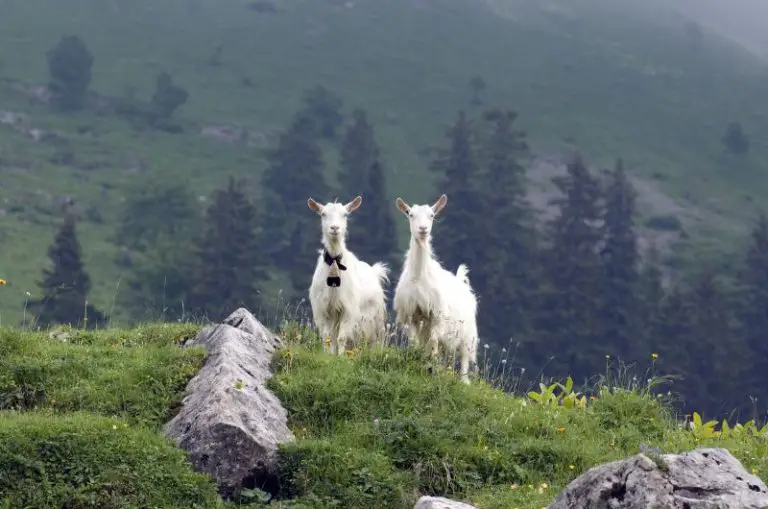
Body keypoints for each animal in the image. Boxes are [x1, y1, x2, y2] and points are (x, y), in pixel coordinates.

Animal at [307, 195, 390, 355]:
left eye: (345, 214)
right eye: (323, 214)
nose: (334, 228)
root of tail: (374, 271)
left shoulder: (348, 310)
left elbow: (342, 338)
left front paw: (340, 357)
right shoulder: (324, 310)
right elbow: (327, 338)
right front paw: (328, 355)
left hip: (376, 319)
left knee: (378, 340)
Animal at [392, 194, 479, 383]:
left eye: (432, 215)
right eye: (410, 214)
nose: (423, 229)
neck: (418, 277)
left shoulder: (437, 316)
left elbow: (432, 344)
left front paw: (430, 368)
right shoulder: (411, 315)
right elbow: (416, 343)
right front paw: (419, 361)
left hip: (467, 333)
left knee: (464, 358)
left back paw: (463, 381)